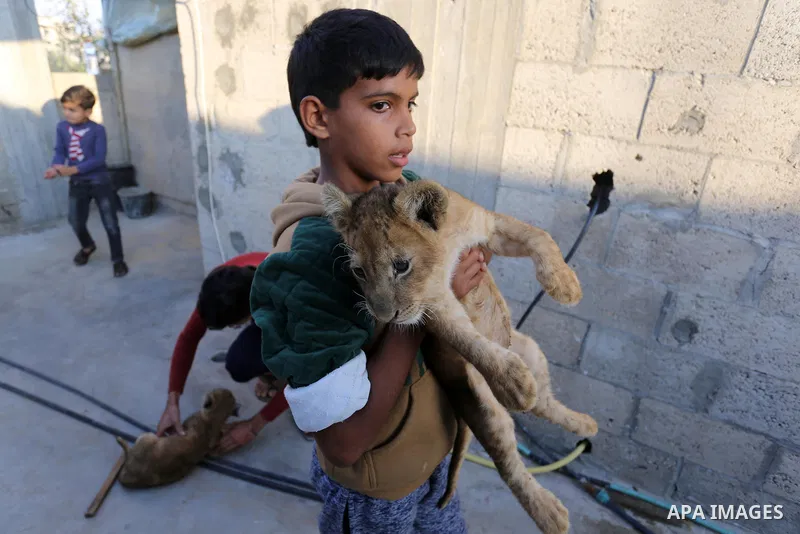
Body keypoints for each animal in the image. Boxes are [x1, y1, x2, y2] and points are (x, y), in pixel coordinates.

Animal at [323, 179, 598, 534]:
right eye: (358, 271)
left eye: (401, 266)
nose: (384, 317)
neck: (443, 246)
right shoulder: (434, 303)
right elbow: (465, 339)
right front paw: (512, 382)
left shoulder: (489, 226)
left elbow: (539, 236)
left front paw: (565, 286)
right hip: (483, 405)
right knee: (507, 461)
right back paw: (549, 513)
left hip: (532, 351)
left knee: (545, 405)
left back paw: (584, 423)